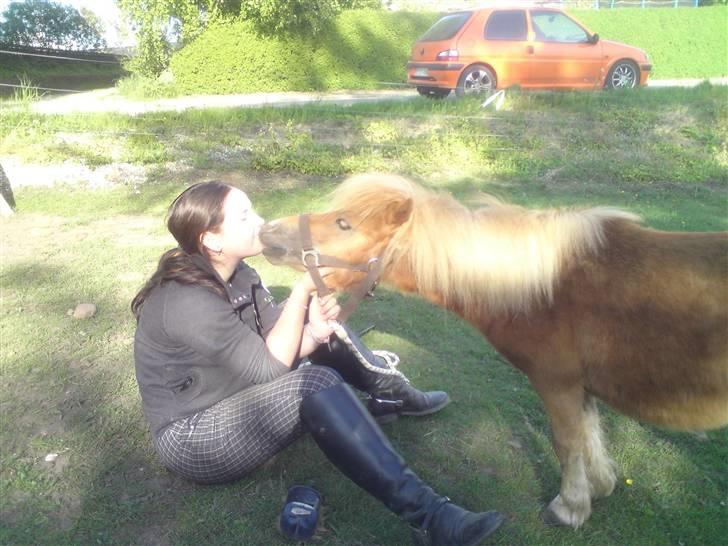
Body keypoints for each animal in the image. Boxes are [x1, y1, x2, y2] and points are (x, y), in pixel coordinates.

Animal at [260, 172, 728, 524]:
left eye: (345, 224)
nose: (268, 231)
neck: (543, 288)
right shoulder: (581, 388)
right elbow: (590, 436)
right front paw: (600, 486)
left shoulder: (558, 384)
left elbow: (567, 442)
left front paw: (569, 507)